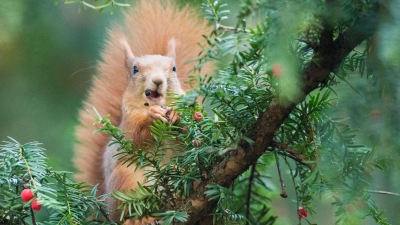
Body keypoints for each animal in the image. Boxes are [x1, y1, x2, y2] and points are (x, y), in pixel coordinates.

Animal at [74, 0, 214, 222]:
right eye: (135, 69)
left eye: (174, 68)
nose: (157, 80)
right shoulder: (127, 123)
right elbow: (133, 138)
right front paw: (152, 118)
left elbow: (195, 140)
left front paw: (186, 116)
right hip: (125, 181)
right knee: (128, 212)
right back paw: (139, 218)